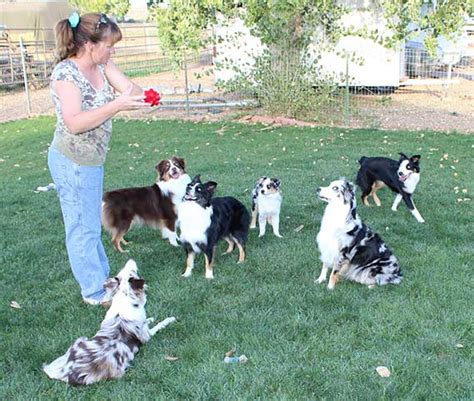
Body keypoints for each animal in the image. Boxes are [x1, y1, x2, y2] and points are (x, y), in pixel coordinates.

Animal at [43, 258, 177, 386]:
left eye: (123, 271)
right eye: (132, 272)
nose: (131, 259)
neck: (124, 298)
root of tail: (67, 373)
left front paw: (150, 319)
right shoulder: (147, 335)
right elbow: (159, 324)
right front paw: (168, 319)